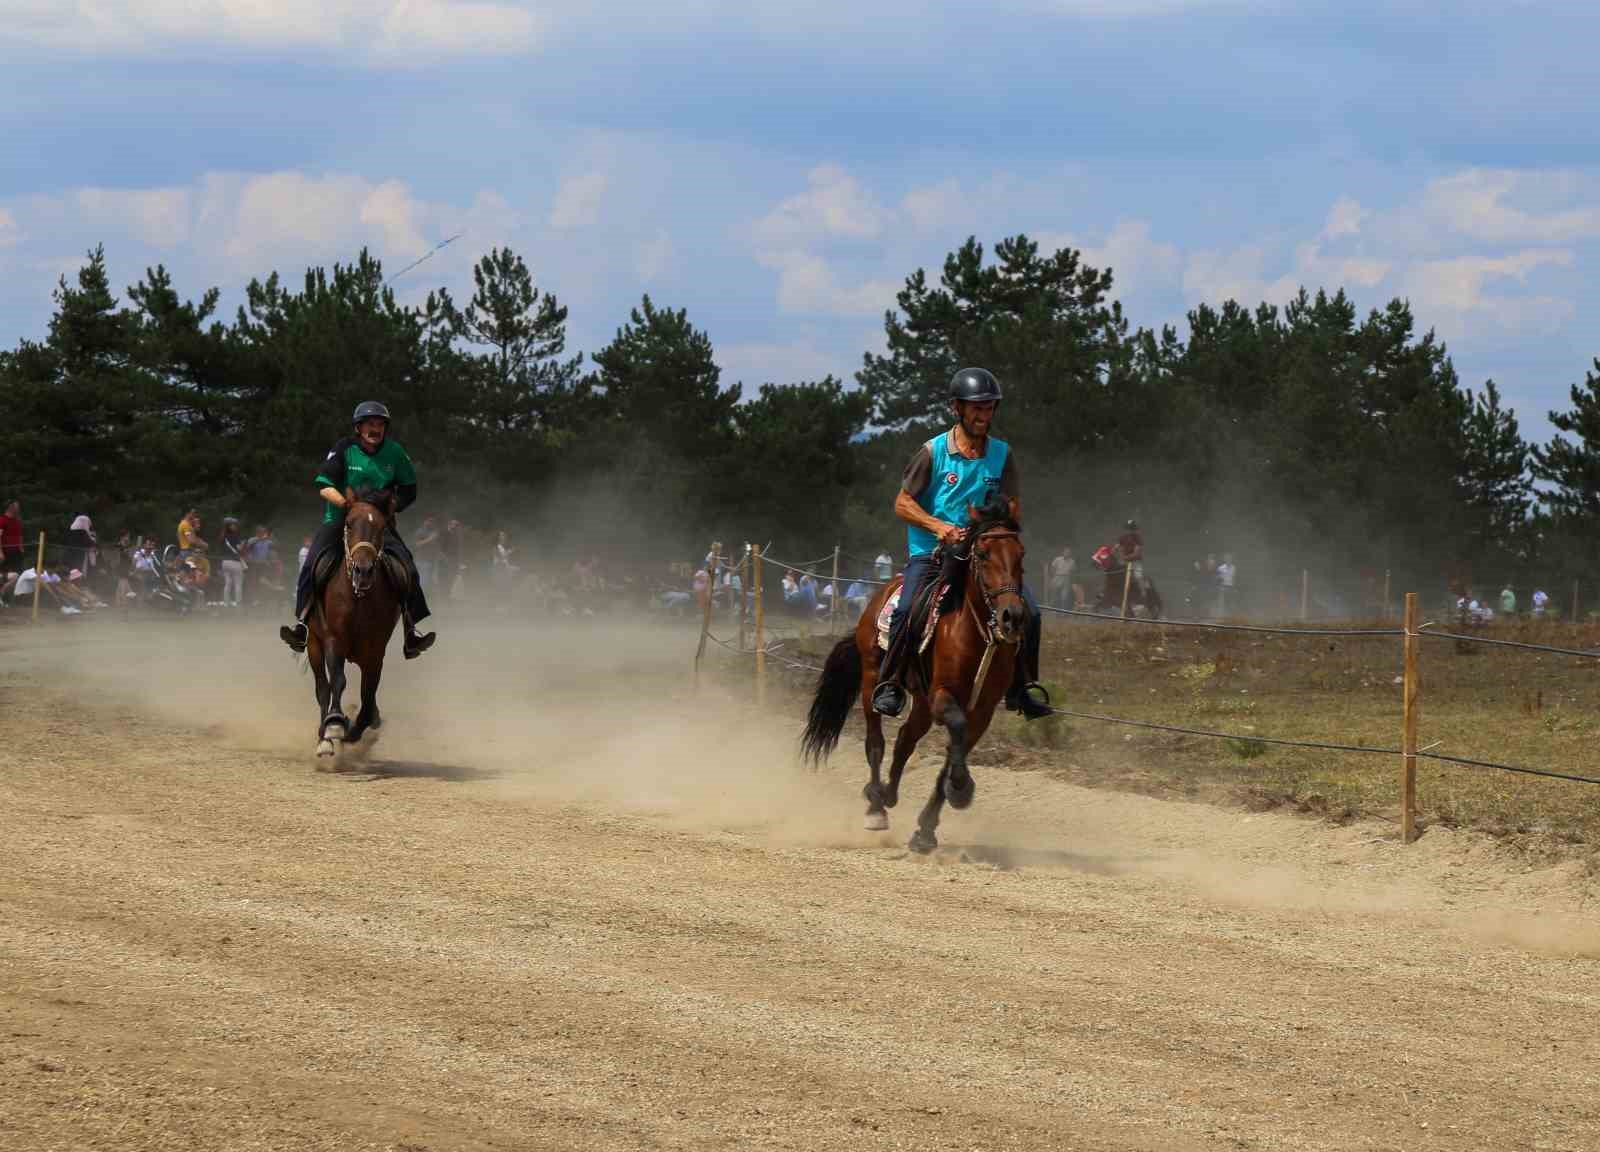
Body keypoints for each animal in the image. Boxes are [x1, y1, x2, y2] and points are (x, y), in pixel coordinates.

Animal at [307, 489, 403, 761]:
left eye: (382, 527)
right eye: (348, 523)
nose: (363, 570)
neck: (358, 597)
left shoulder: (376, 651)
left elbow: (368, 695)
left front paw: (355, 729)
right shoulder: (333, 640)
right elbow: (337, 681)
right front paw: (335, 725)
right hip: (313, 644)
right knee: (322, 687)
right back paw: (324, 737)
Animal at [796, 502, 1024, 857]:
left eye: (1021, 554)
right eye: (983, 553)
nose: (1011, 616)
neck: (974, 632)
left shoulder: (982, 710)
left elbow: (954, 750)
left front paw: (926, 830)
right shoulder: (943, 695)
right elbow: (955, 731)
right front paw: (961, 788)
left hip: (921, 703)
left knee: (904, 739)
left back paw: (886, 794)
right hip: (873, 681)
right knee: (876, 742)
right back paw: (876, 807)